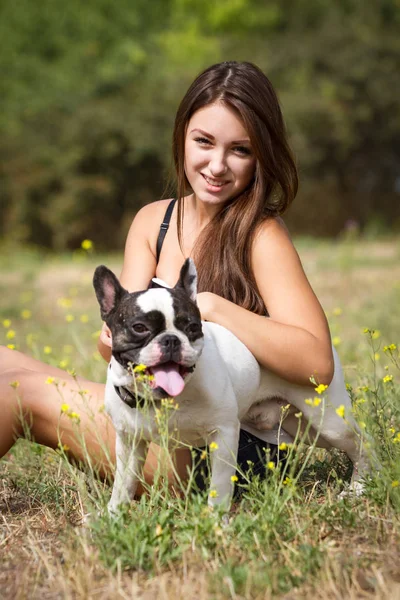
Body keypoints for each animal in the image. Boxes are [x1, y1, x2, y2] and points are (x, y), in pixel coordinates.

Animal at [94, 260, 372, 512]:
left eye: (192, 327)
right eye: (139, 327)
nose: (171, 339)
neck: (162, 400)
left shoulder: (224, 434)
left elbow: (219, 487)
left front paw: (217, 523)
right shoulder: (130, 443)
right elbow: (123, 485)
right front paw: (113, 518)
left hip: (330, 422)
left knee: (362, 442)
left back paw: (360, 487)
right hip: (307, 428)